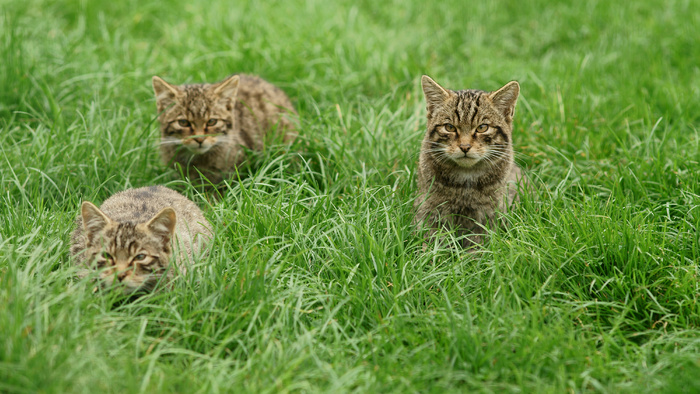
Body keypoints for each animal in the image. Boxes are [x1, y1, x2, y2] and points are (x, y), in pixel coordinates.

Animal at [416, 75, 524, 249]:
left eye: (482, 127)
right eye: (449, 127)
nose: (465, 146)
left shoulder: (488, 215)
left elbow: (479, 245)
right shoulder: (429, 209)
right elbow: (430, 241)